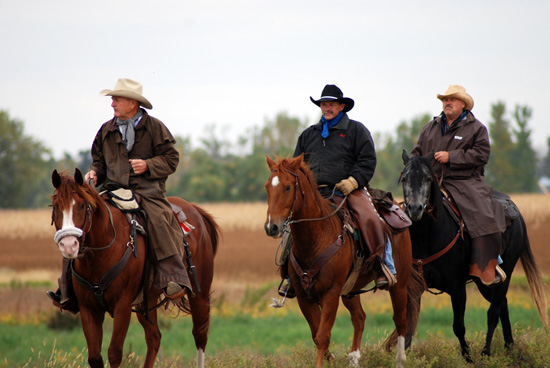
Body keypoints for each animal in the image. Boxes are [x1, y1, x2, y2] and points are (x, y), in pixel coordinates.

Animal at [48, 169, 220, 368]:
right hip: (148, 299)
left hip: (200, 294)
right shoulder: (88, 308)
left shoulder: (122, 304)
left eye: (83, 205)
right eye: (56, 206)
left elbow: (114, 353)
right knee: (154, 338)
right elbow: (95, 357)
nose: (69, 246)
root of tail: (194, 210)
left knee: (200, 335)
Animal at [266, 155, 424, 368]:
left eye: (288, 187)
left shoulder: (331, 293)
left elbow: (323, 336)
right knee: (359, 318)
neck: (317, 236)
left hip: (399, 285)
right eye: (268, 186)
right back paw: (354, 359)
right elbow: (316, 333)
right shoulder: (303, 296)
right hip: (350, 291)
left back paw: (400, 360)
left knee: (401, 321)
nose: (271, 227)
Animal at [402, 151, 550, 360]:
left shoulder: (457, 287)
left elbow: (459, 327)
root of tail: (517, 214)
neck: (428, 236)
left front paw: (469, 358)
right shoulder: (413, 287)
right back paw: (510, 349)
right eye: (404, 178)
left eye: (428, 178)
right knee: (503, 305)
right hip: (484, 281)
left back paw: (486, 353)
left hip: (505, 272)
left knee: (494, 311)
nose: (415, 209)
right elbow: (408, 326)